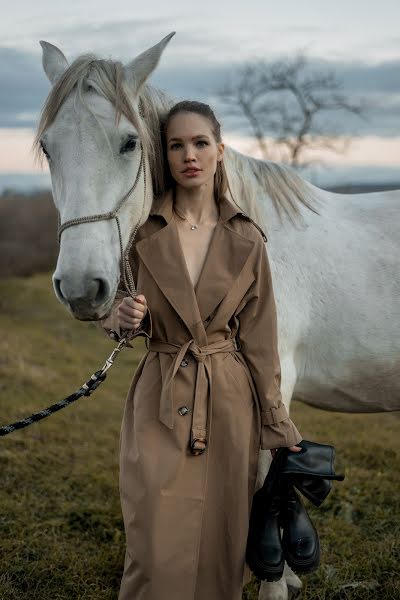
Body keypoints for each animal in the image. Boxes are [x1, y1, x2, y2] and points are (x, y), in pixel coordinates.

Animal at [35, 34, 400, 600]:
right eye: (49, 148)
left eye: (129, 143)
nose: (80, 287)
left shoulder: (272, 379)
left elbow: (269, 470)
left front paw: (274, 579)